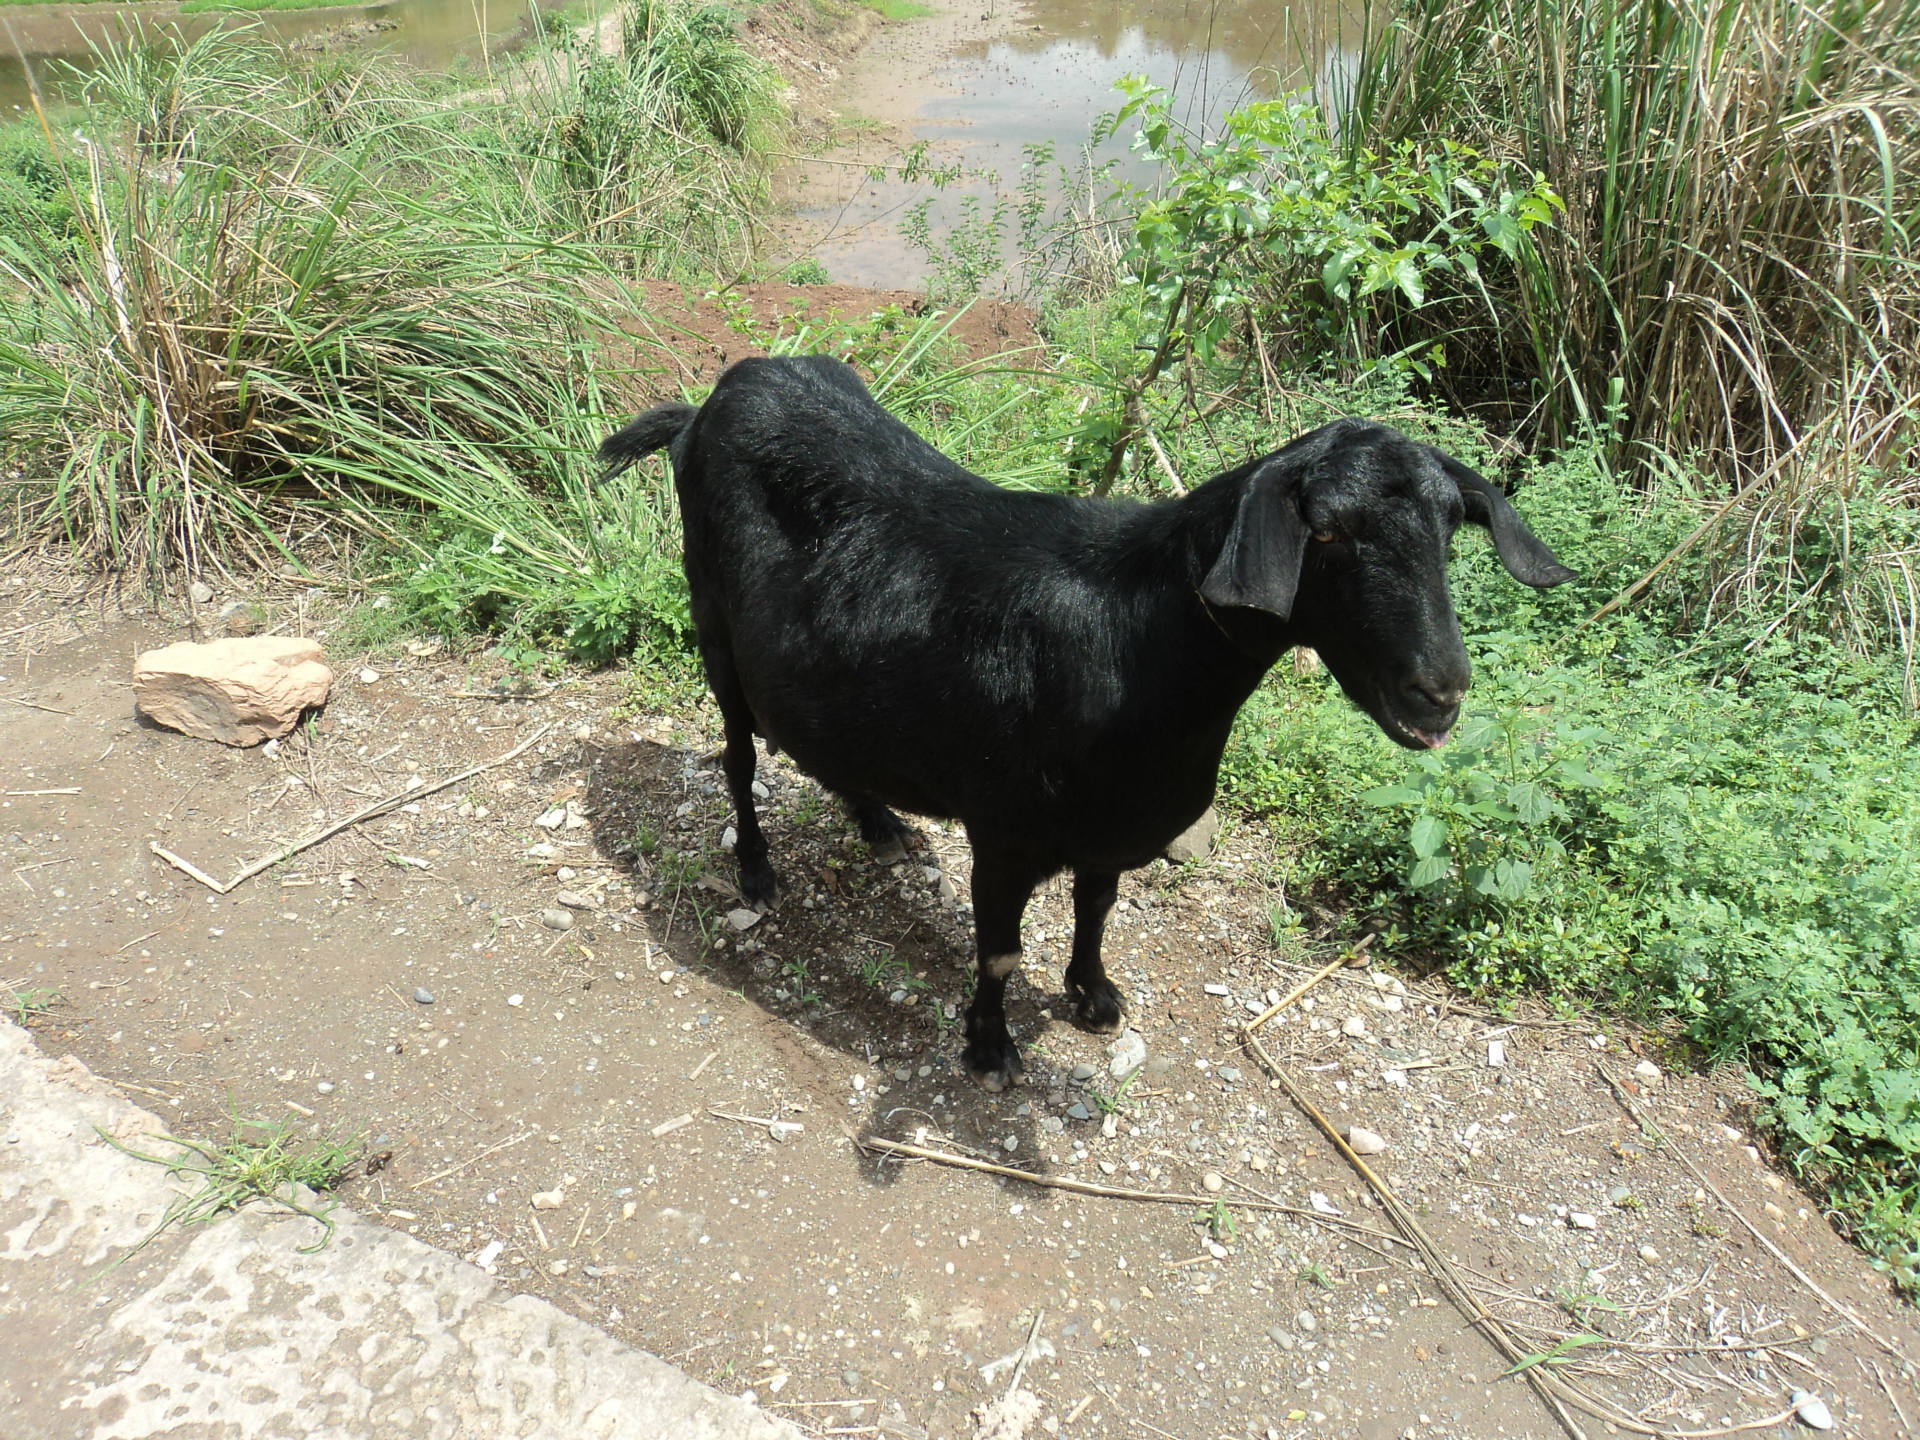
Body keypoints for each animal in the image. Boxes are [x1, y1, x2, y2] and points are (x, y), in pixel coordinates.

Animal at [602, 359, 1574, 1090]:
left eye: (1451, 529)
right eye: (1326, 533)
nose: (1439, 691)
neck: (1137, 643)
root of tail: (707, 405)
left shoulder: (1109, 824)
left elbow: (1098, 906)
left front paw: (1093, 996)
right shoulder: (1003, 830)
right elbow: (998, 952)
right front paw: (990, 1050)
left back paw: (879, 822)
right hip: (714, 628)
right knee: (737, 756)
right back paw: (756, 872)